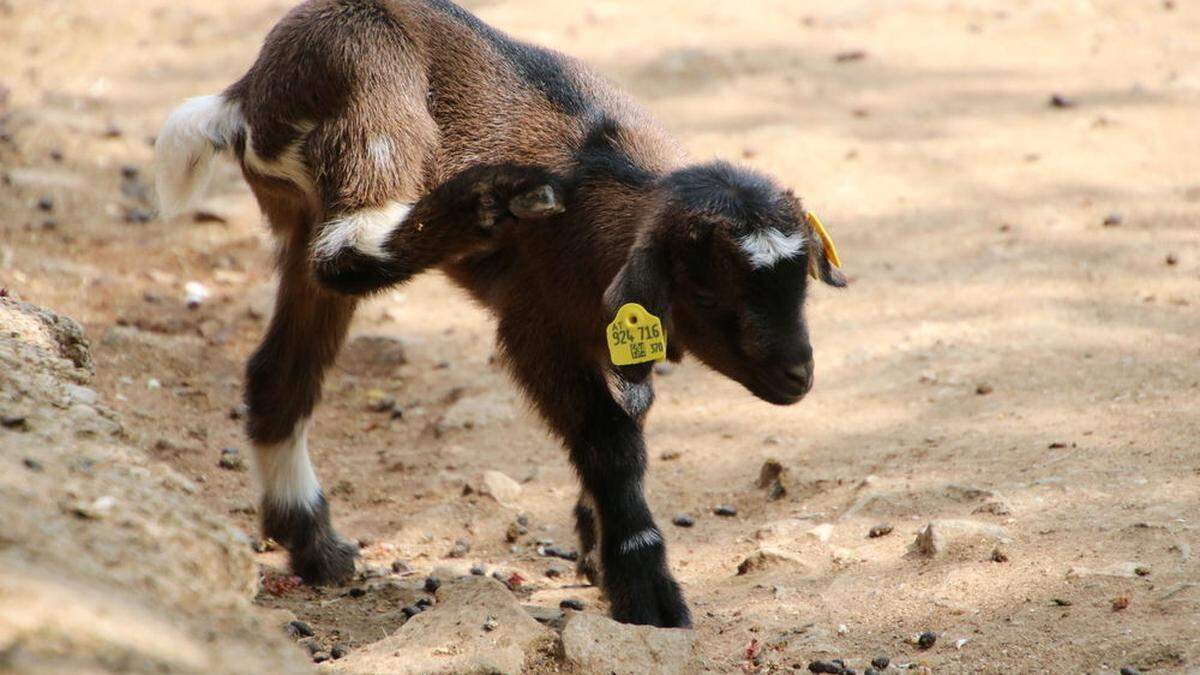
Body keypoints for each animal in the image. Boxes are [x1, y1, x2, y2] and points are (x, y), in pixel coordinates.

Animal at [154, 0, 844, 624]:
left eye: (801, 285)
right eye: (705, 293)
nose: (798, 374)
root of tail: (248, 91)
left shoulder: (611, 334)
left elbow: (627, 417)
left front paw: (595, 550)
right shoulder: (535, 324)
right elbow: (610, 444)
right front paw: (647, 594)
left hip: (300, 221)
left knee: (281, 371)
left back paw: (314, 545)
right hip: (364, 75)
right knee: (347, 246)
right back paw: (497, 198)